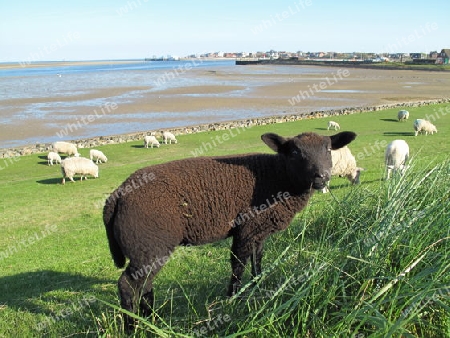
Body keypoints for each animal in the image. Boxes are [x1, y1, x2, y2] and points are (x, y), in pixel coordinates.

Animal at [103, 131, 356, 326]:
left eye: (328, 149)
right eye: (294, 152)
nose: (321, 177)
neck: (278, 177)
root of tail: (117, 196)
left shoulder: (259, 230)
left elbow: (257, 260)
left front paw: (257, 287)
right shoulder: (246, 228)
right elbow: (238, 264)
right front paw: (234, 298)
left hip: (147, 249)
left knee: (145, 284)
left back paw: (152, 319)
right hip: (148, 244)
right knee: (128, 285)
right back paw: (134, 326)